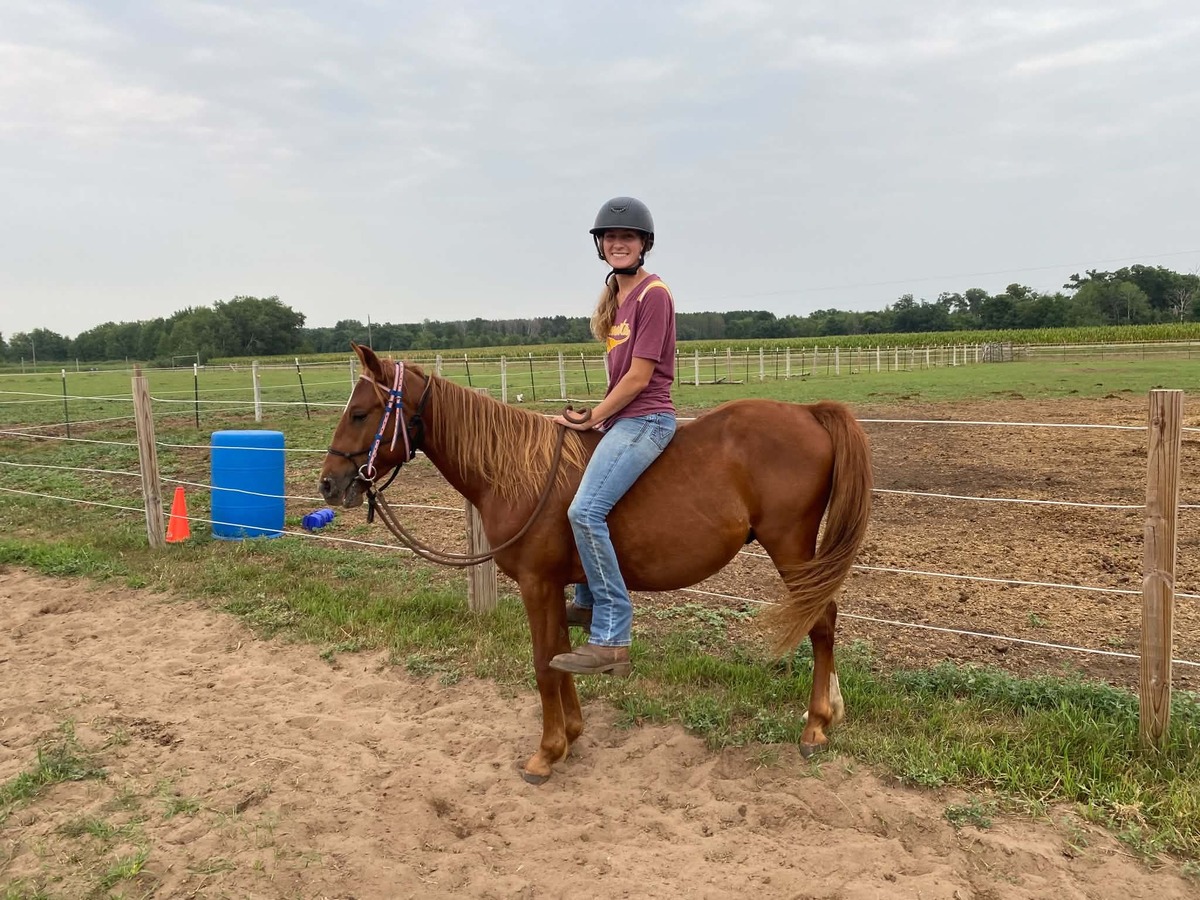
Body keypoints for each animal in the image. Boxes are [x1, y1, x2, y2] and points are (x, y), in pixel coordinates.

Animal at [319, 343, 872, 784]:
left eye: (360, 413)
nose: (328, 484)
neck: (517, 472)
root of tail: (808, 412)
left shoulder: (537, 584)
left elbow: (543, 663)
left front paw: (546, 753)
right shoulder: (556, 587)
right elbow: (561, 655)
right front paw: (572, 733)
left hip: (791, 547)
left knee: (821, 620)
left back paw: (815, 725)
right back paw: (831, 712)